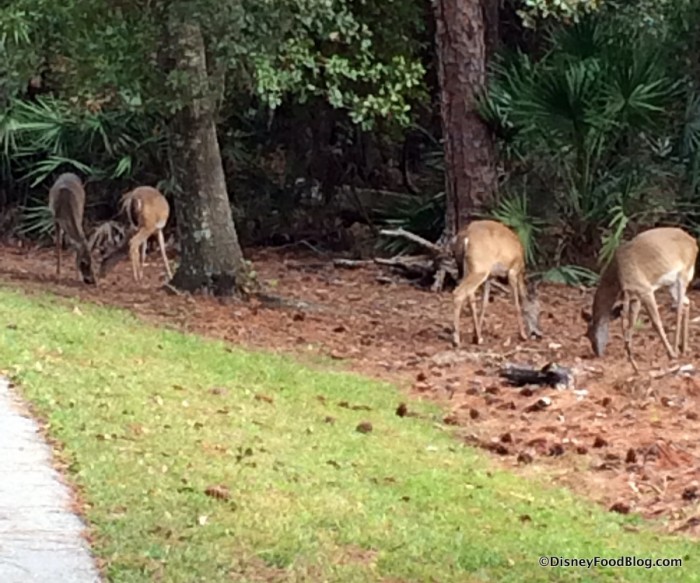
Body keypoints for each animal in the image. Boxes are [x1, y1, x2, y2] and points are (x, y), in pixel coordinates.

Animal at [581, 227, 698, 372]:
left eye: (590, 333)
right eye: (586, 335)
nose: (597, 353)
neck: (617, 277)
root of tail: (694, 242)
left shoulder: (645, 290)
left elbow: (656, 322)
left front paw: (670, 353)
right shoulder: (635, 297)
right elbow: (631, 323)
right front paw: (629, 355)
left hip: (684, 274)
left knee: (679, 308)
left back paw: (675, 351)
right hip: (671, 284)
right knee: (687, 303)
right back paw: (684, 348)